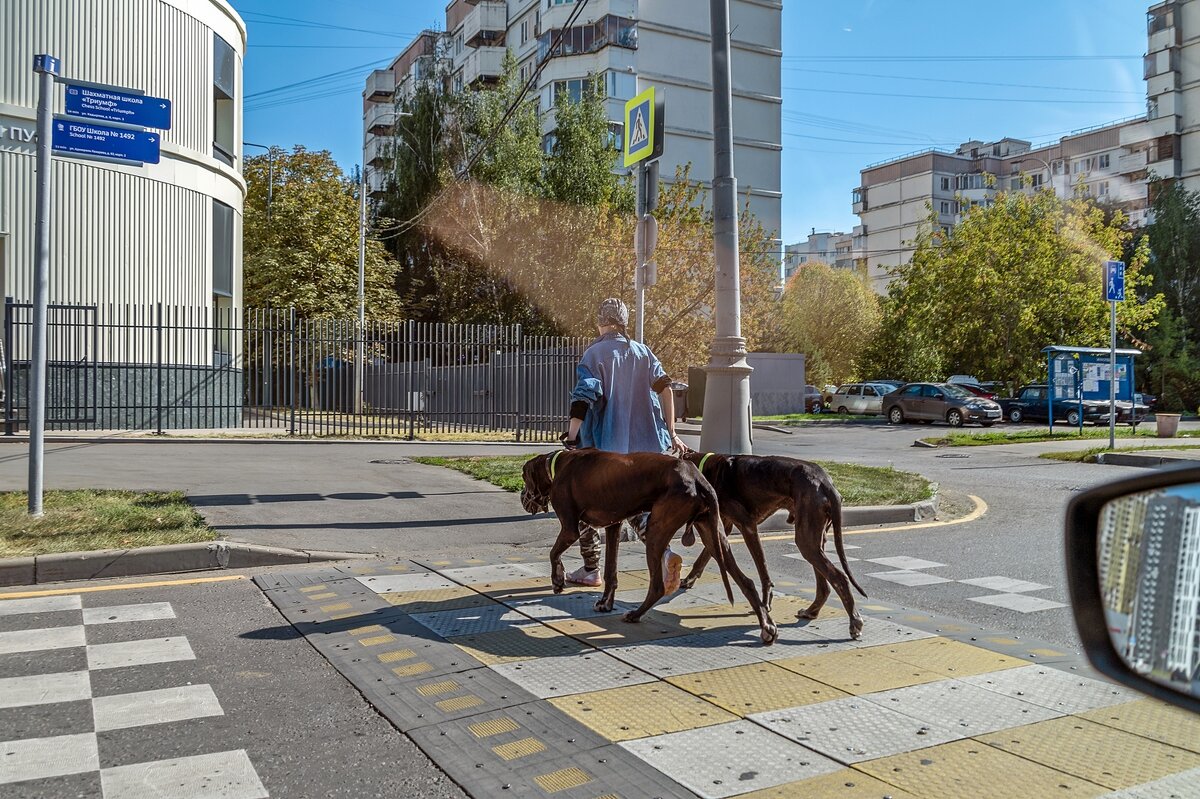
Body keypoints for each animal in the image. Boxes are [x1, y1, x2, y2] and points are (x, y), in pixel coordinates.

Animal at [518, 448, 777, 643]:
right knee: (747, 581)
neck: (557, 464)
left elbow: (554, 553)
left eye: (523, 477)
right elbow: (611, 571)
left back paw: (635, 614)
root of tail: (698, 478)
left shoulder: (571, 528)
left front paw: (557, 581)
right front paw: (605, 603)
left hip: (657, 531)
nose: (523, 498)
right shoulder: (613, 526)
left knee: (658, 587)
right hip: (713, 536)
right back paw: (767, 625)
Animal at [681, 451, 868, 638]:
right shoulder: (723, 526)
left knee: (840, 578)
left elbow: (762, 569)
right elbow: (705, 555)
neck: (710, 468)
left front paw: (765, 603)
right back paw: (811, 611)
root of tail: (825, 481)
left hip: (806, 539)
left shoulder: (747, 526)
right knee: (825, 584)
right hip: (815, 538)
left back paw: (854, 621)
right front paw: (689, 579)